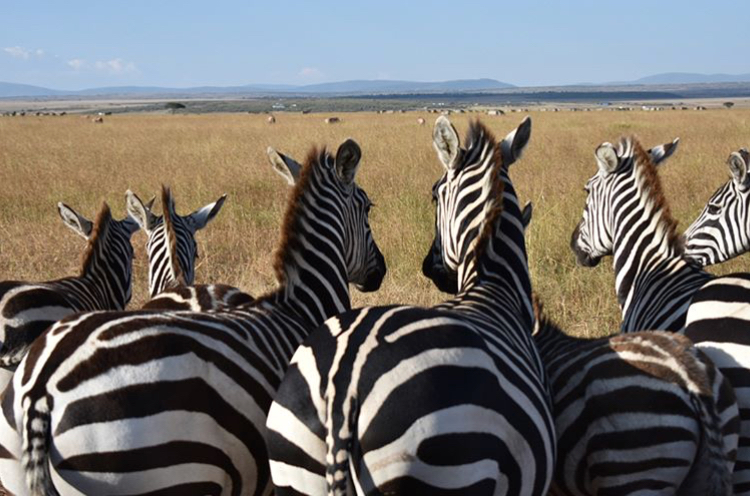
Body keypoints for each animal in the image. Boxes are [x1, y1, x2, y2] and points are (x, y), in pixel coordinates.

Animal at [268, 117, 556, 496]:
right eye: (434, 194)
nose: (431, 269)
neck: (494, 282)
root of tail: (343, 386)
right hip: (445, 459)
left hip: (294, 468)